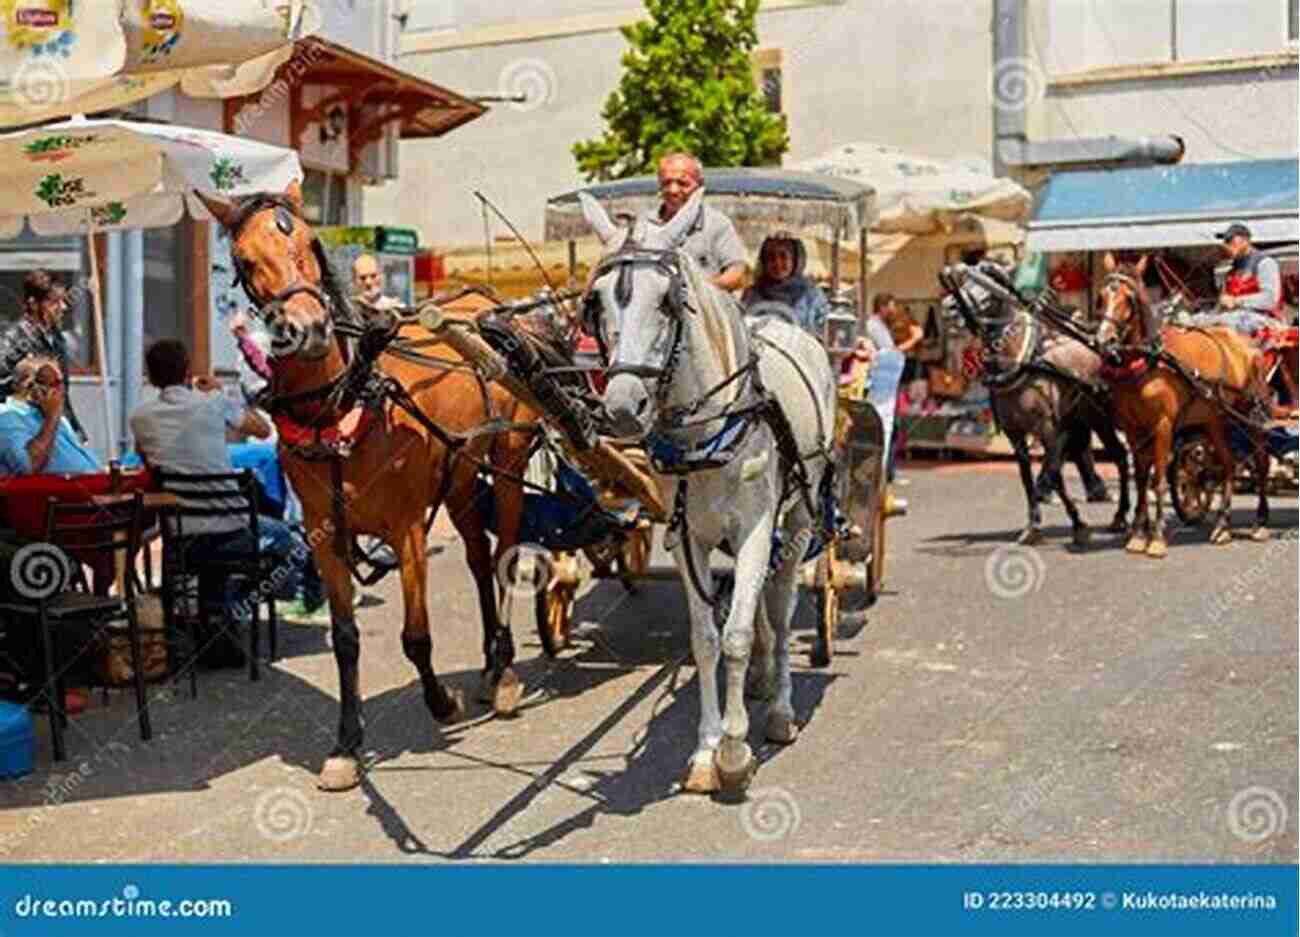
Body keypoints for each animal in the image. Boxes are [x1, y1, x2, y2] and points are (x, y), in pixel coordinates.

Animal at [193, 183, 538, 790]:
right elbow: (346, 639)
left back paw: (507, 674)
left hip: (508, 463)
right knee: (477, 559)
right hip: (460, 479)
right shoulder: (324, 535)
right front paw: (347, 745)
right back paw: (491, 664)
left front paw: (440, 701)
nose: (307, 328)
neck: (344, 400)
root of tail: (476, 303)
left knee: (504, 559)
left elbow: (415, 636)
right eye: (245, 260)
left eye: (309, 242)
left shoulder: (407, 529)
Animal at [577, 192, 832, 795]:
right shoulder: (686, 537)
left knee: (781, 608)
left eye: (669, 301)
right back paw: (761, 681)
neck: (705, 430)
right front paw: (704, 751)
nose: (622, 408)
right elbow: (707, 639)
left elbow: (736, 634)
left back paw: (780, 707)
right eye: (596, 301)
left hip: (799, 520)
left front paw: (735, 753)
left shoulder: (758, 529)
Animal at [1097, 252, 1268, 556]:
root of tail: (1247, 344)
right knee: (1228, 463)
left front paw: (1156, 537)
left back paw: (1259, 521)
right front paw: (1138, 534)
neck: (1149, 359)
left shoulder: (1163, 425)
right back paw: (1223, 525)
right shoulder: (1133, 429)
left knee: (1260, 461)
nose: (1105, 340)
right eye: (1102, 297)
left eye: (1129, 299)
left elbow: (1158, 480)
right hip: (1215, 420)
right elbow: (1141, 479)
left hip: (1251, 416)